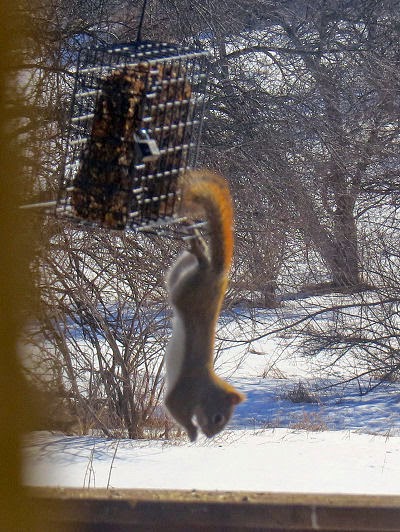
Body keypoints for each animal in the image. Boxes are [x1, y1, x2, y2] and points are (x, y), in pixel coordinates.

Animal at [164, 169, 245, 440]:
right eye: (218, 417)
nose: (210, 436)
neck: (205, 388)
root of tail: (218, 275)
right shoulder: (184, 393)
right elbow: (174, 408)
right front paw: (191, 433)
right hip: (190, 289)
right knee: (198, 265)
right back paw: (199, 248)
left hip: (181, 278)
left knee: (187, 263)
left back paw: (198, 242)